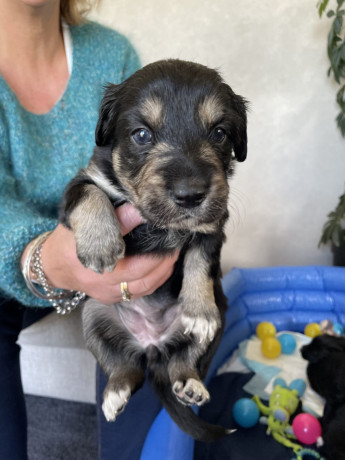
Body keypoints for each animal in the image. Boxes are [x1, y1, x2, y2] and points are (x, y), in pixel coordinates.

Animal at [59, 59, 247, 440]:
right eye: (142, 135)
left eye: (219, 133)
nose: (190, 195)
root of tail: (153, 346)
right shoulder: (81, 182)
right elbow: (90, 194)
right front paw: (100, 244)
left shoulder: (213, 222)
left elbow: (200, 261)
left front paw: (198, 310)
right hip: (94, 315)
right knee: (125, 368)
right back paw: (115, 393)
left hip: (221, 311)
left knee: (182, 363)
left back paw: (190, 385)